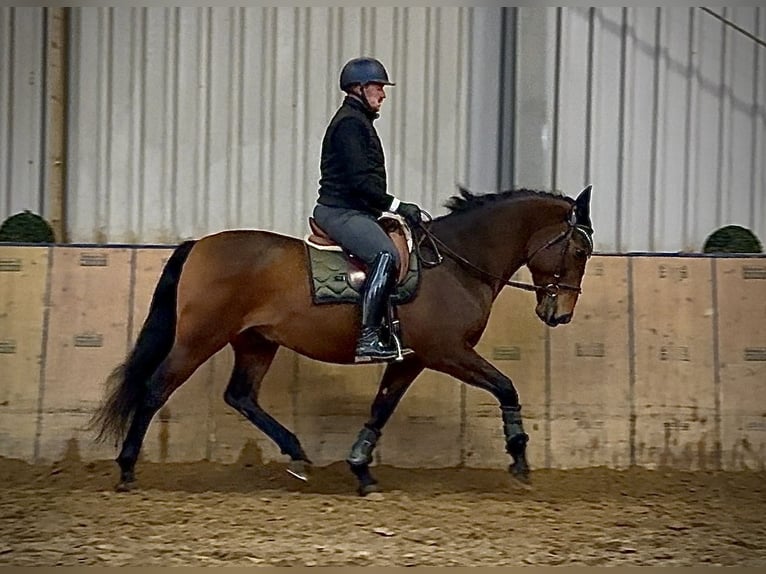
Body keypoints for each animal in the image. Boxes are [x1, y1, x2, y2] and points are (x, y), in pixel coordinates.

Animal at [89, 185, 595, 496]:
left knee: (241, 395)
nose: (560, 314)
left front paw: (361, 469)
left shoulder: (411, 358)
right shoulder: (448, 352)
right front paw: (519, 458)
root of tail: (198, 245)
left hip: (256, 341)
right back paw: (128, 468)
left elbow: (381, 407)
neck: (455, 264)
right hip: (200, 338)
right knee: (155, 388)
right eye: (579, 249)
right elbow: (506, 386)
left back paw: (296, 453)